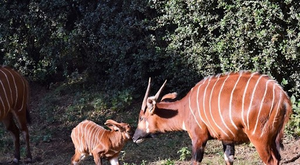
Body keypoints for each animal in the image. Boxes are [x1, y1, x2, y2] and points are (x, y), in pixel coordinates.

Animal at [132, 72, 292, 165]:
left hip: (259, 138)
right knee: (278, 158)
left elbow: (195, 161)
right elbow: (228, 159)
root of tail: (283, 97)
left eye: (141, 118)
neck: (184, 109)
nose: (134, 137)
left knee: (271, 160)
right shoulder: (227, 139)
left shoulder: (198, 138)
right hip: (271, 138)